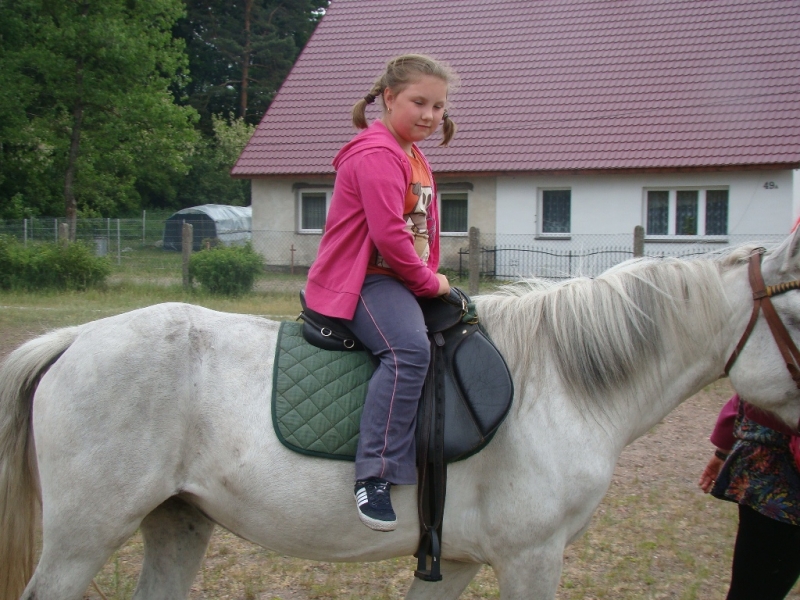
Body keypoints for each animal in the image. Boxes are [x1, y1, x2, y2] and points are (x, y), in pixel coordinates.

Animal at [4, 231, 800, 600]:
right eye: (796, 313)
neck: (558, 382)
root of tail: (75, 339)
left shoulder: (456, 560)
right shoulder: (532, 557)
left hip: (177, 522)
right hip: (84, 536)